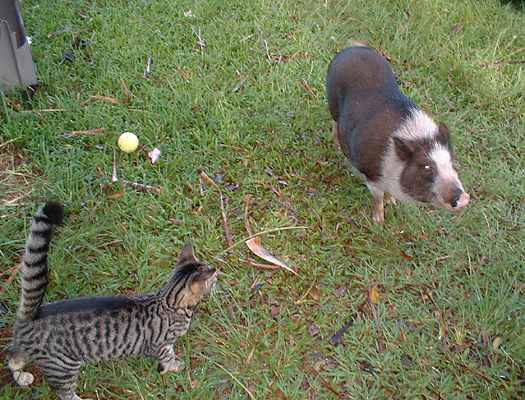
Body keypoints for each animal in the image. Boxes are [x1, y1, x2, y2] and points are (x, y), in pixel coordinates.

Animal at [8, 202, 217, 398]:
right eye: (213, 278)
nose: (218, 277)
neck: (169, 301)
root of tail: (31, 317)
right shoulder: (158, 346)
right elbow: (168, 357)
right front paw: (175, 366)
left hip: (35, 352)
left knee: (13, 358)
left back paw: (22, 377)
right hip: (63, 366)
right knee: (62, 391)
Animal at [326, 46, 468, 225]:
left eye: (451, 162)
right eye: (426, 166)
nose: (463, 197)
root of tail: (352, 49)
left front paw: (392, 202)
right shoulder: (372, 175)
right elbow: (377, 197)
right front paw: (378, 222)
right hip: (332, 102)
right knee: (335, 122)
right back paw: (336, 146)